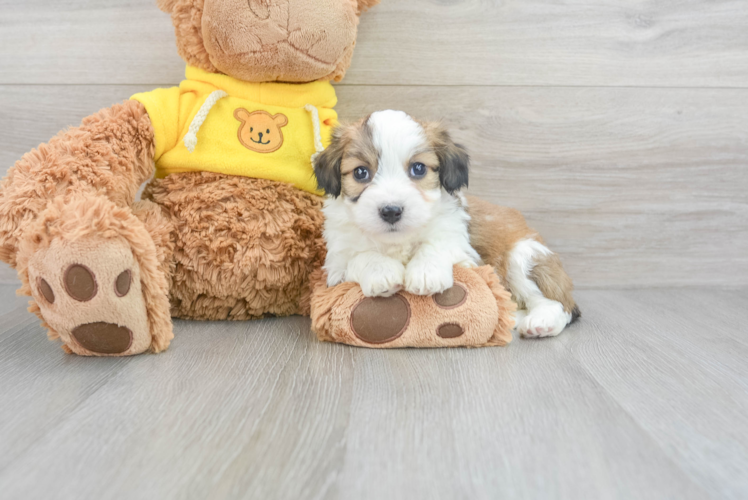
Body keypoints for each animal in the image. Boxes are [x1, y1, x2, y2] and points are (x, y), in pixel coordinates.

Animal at [312, 109, 480, 296]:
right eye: (360, 172)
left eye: (419, 168)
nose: (391, 211)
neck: (396, 242)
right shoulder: (337, 264)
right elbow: (360, 256)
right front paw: (381, 271)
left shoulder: (453, 234)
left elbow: (438, 243)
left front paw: (426, 272)